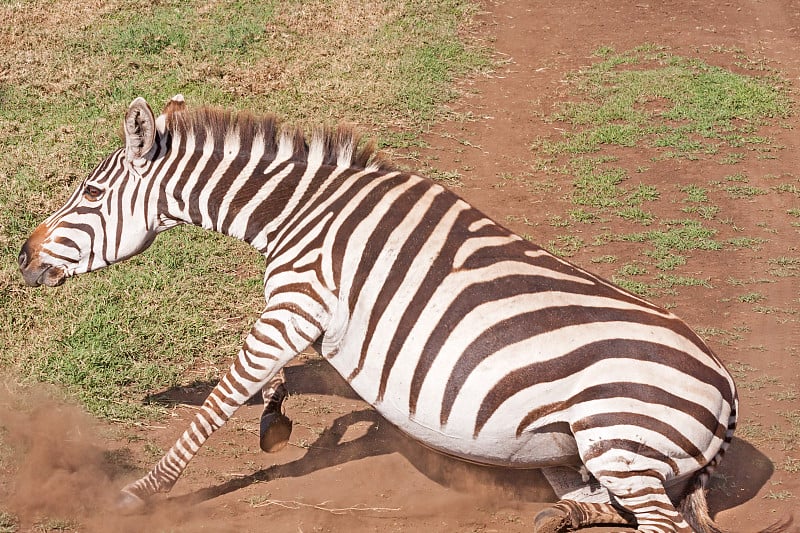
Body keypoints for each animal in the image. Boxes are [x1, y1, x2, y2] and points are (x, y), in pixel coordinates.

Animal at [14, 96, 776, 532]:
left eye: (87, 193)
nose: (21, 255)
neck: (301, 210)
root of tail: (729, 393)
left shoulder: (295, 302)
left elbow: (220, 398)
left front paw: (142, 492)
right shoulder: (302, 312)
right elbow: (268, 380)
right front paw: (275, 419)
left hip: (621, 440)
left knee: (659, 525)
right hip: (585, 451)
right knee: (605, 502)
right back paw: (556, 512)